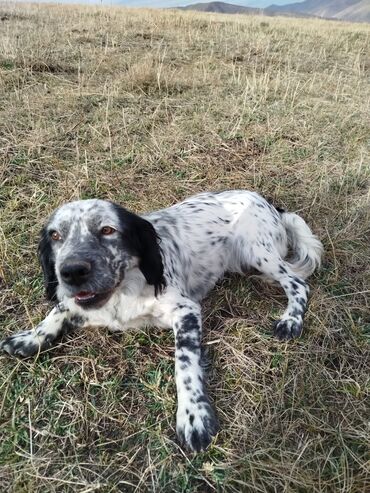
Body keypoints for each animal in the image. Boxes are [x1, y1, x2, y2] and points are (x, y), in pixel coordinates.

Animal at [0, 190, 320, 452]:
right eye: (56, 235)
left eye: (107, 230)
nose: (71, 271)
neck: (124, 288)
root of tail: (268, 202)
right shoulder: (80, 305)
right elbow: (57, 310)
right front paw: (30, 338)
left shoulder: (186, 310)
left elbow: (185, 366)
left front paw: (193, 416)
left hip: (257, 253)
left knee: (298, 284)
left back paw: (291, 319)